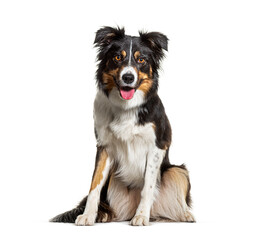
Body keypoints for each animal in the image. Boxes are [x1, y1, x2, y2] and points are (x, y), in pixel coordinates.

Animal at [50, 27, 195, 226]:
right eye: (118, 57)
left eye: (141, 60)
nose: (128, 77)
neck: (127, 107)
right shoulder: (104, 146)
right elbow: (94, 185)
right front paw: (88, 215)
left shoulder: (157, 146)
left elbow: (148, 187)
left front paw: (141, 216)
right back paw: (104, 215)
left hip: (177, 170)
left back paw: (183, 215)